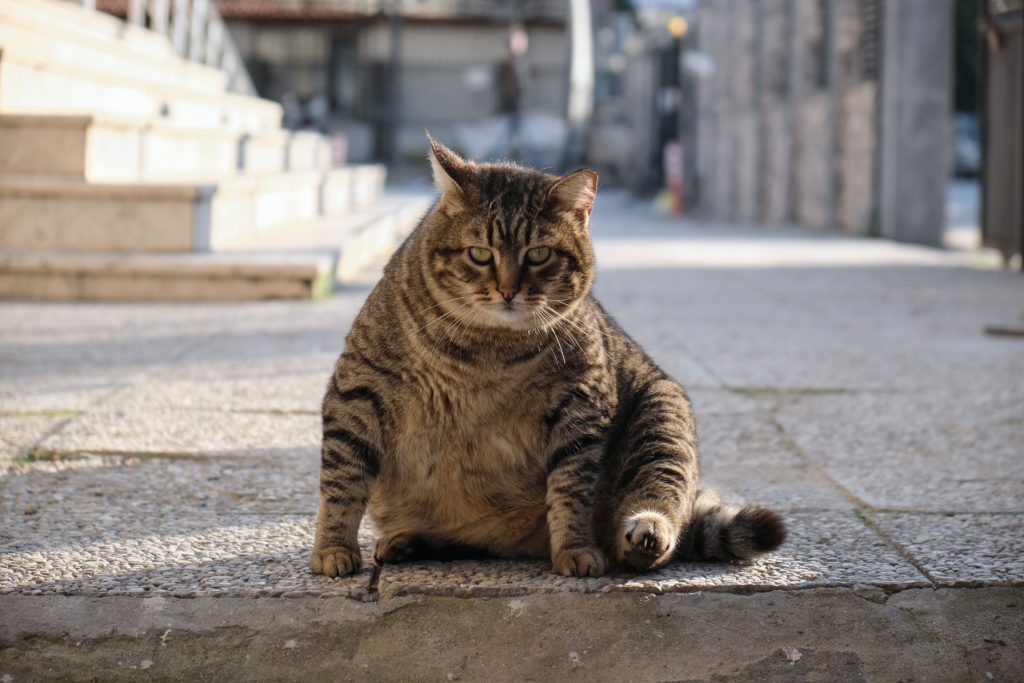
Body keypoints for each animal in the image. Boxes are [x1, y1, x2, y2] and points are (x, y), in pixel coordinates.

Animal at [307, 136, 786, 581]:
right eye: (479, 254)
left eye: (538, 254)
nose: (507, 289)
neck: (486, 349)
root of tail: (508, 544)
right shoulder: (358, 388)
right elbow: (341, 481)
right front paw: (333, 548)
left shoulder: (583, 404)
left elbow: (571, 488)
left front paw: (574, 549)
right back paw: (406, 541)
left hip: (662, 416)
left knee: (663, 501)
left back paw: (644, 537)